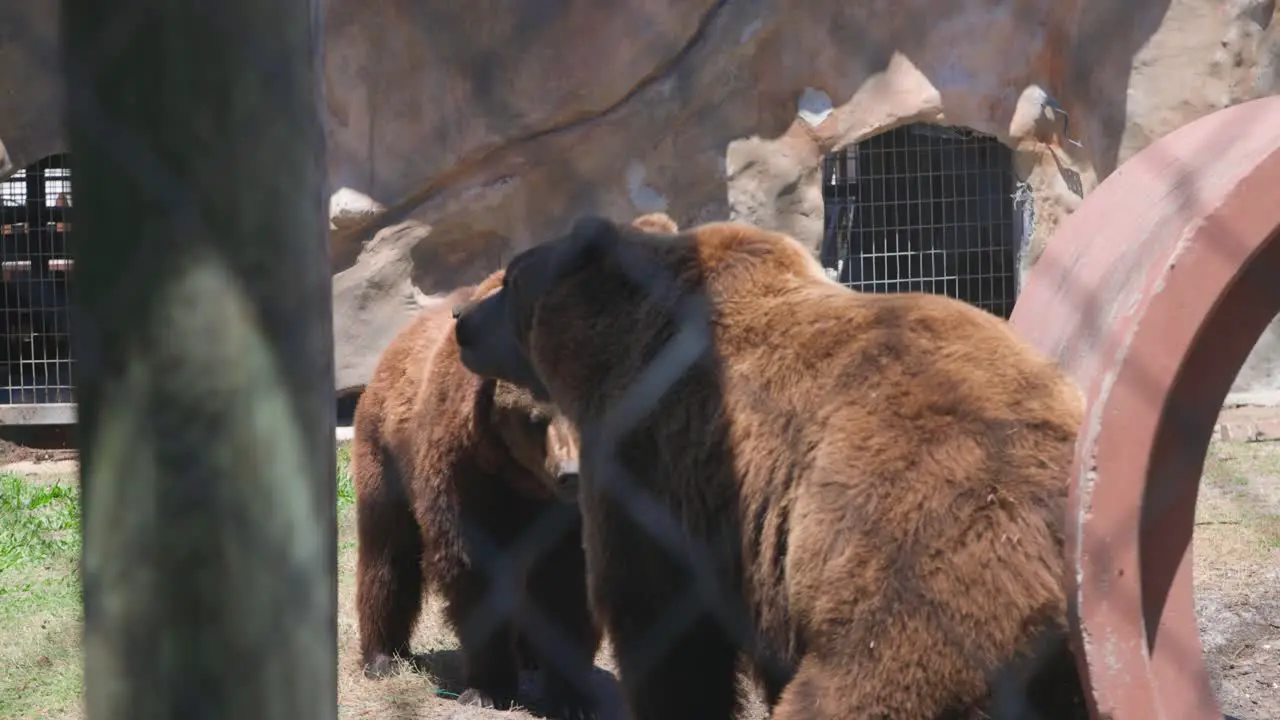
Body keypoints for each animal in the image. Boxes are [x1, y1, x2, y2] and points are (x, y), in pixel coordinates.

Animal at [350, 266, 599, 712]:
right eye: (536, 417)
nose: (571, 474)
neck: (525, 481)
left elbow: (570, 578)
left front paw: (572, 695)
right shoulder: (466, 470)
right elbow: (473, 569)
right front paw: (487, 687)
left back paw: (530, 655)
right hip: (385, 454)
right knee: (387, 552)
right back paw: (382, 656)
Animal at [455, 215, 1085, 717]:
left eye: (510, 280)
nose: (462, 322)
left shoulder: (654, 459)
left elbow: (659, 622)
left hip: (927, 570)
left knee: (859, 688)